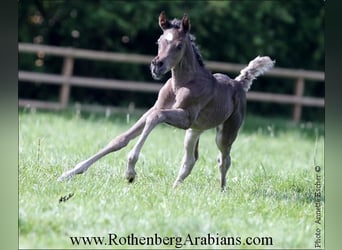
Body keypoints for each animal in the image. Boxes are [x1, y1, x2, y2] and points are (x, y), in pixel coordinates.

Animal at [57, 12, 274, 189]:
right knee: (190, 160)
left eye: (178, 45)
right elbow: (121, 138)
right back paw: (174, 189)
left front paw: (130, 172)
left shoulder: (185, 117)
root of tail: (239, 83)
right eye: (158, 41)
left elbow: (156, 116)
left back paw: (221, 191)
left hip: (224, 132)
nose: (156, 66)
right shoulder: (162, 110)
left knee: (224, 159)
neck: (181, 84)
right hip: (194, 130)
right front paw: (69, 173)